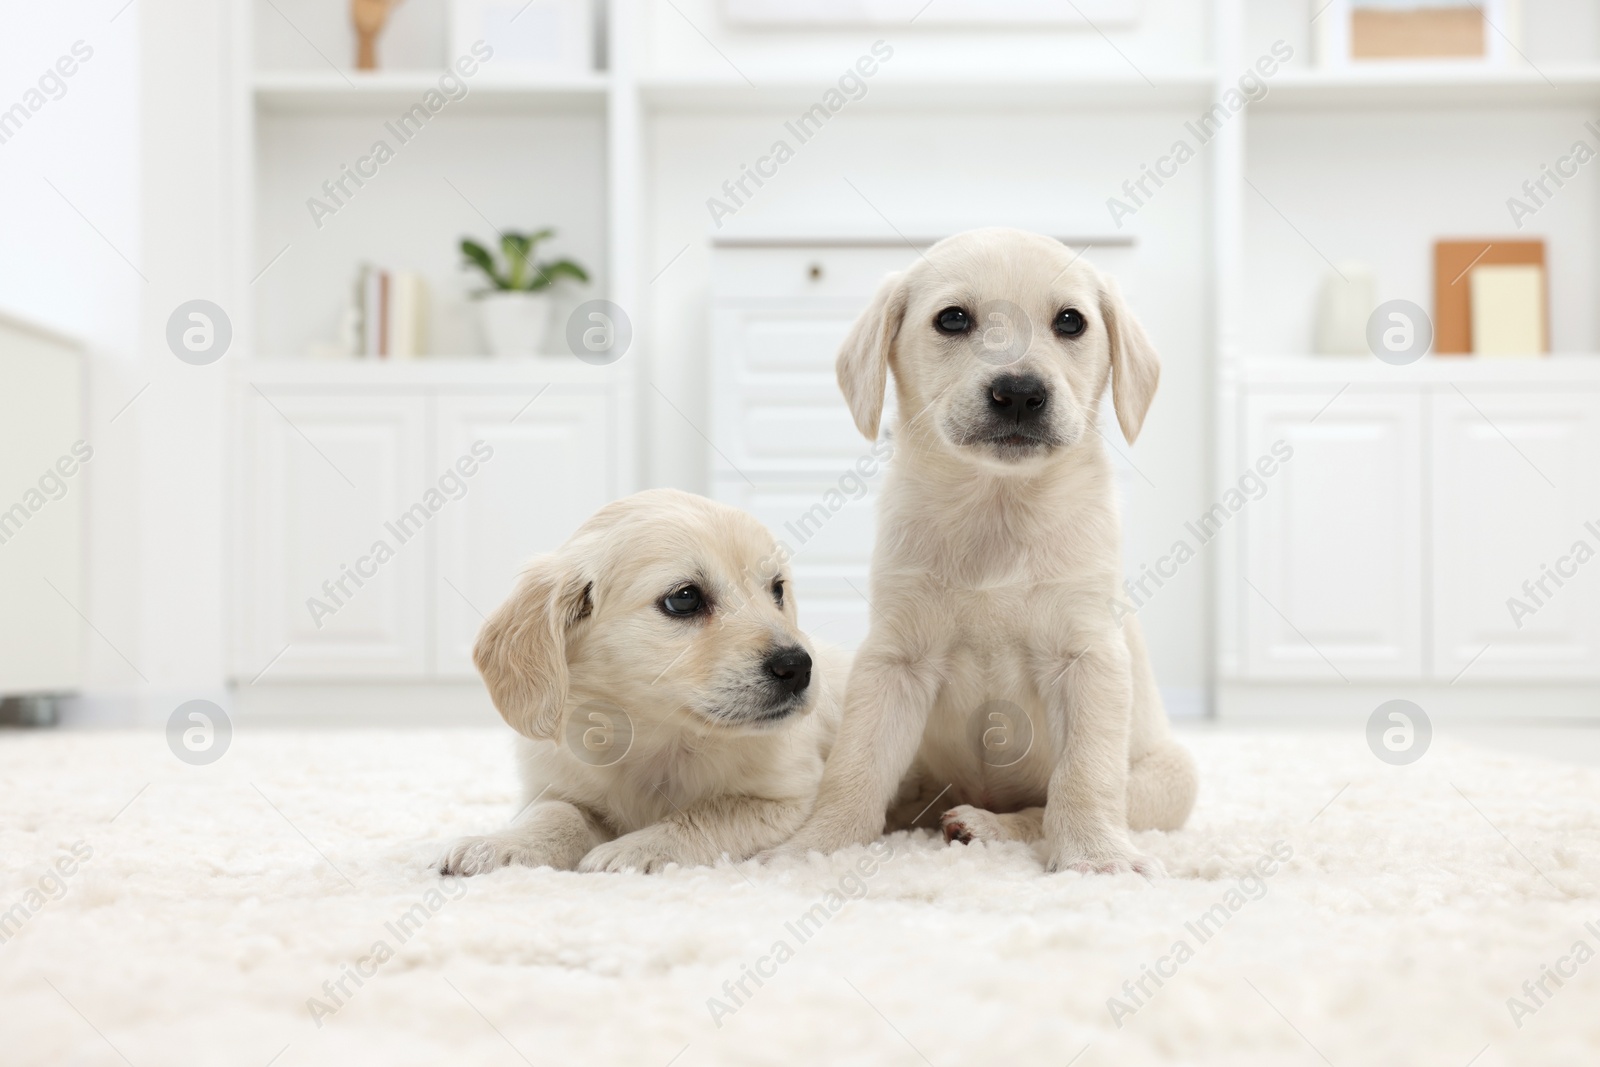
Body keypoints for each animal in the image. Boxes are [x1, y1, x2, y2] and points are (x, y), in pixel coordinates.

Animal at [438, 489, 838, 870]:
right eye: (685, 599)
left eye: (777, 590)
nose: (798, 667)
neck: (657, 737)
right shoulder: (552, 785)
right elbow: (556, 811)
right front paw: (496, 845)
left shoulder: (788, 797)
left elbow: (710, 812)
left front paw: (632, 850)